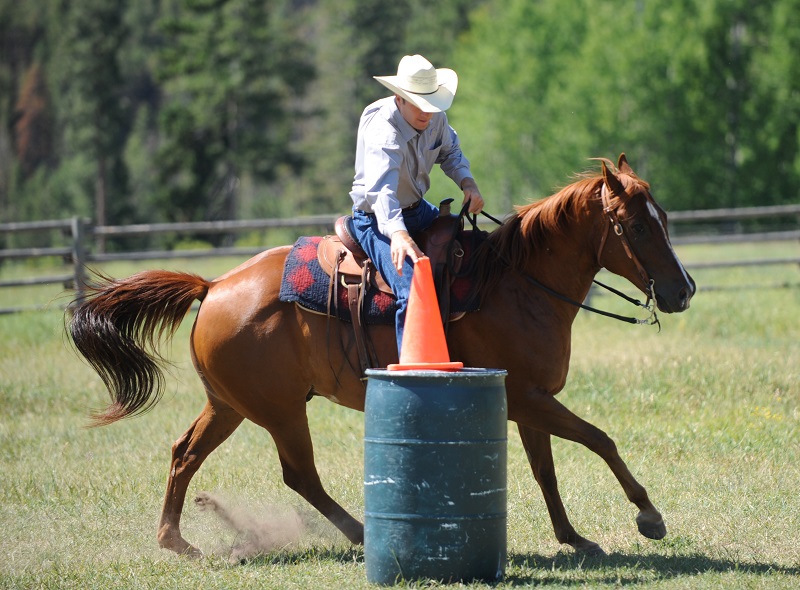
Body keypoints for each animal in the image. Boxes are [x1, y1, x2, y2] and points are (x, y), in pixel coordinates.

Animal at [67, 154, 695, 557]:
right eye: (637, 225)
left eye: (663, 218)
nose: (683, 290)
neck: (517, 285)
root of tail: (213, 285)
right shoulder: (525, 397)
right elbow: (599, 438)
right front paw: (648, 515)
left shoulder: (526, 400)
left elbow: (547, 469)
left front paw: (575, 539)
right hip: (279, 411)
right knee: (299, 474)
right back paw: (362, 534)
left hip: (229, 405)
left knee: (184, 454)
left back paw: (177, 542)